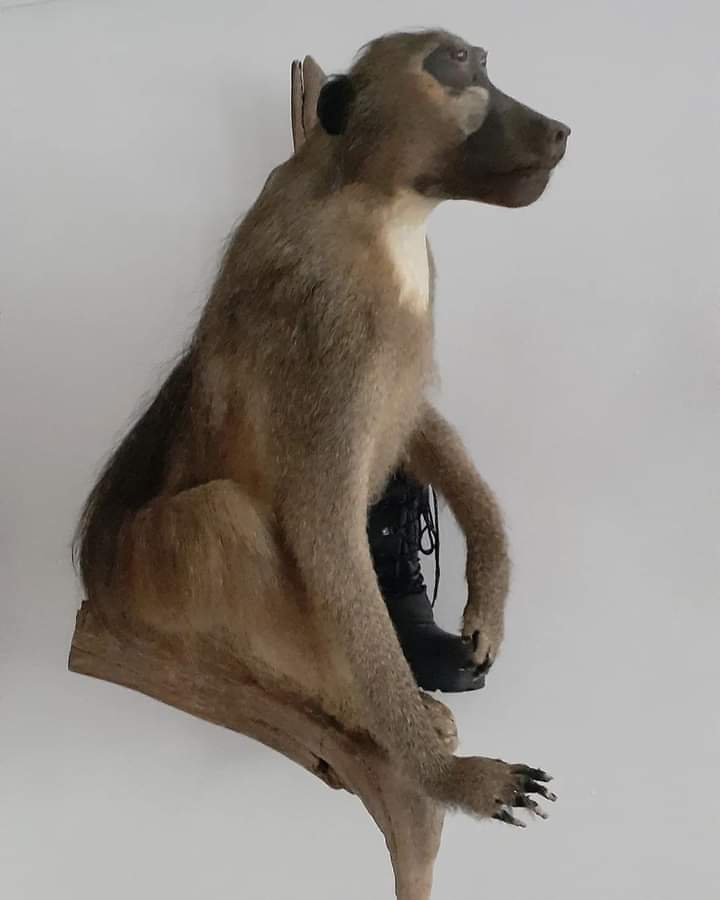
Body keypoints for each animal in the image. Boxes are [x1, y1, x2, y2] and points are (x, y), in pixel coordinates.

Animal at [74, 29, 569, 825]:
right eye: (455, 66)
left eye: (483, 63)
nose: (556, 131)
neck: (379, 204)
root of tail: (96, 572)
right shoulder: (326, 317)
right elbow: (323, 529)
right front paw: (452, 777)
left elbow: (411, 421)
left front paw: (488, 584)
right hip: (146, 586)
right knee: (216, 520)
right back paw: (358, 709)